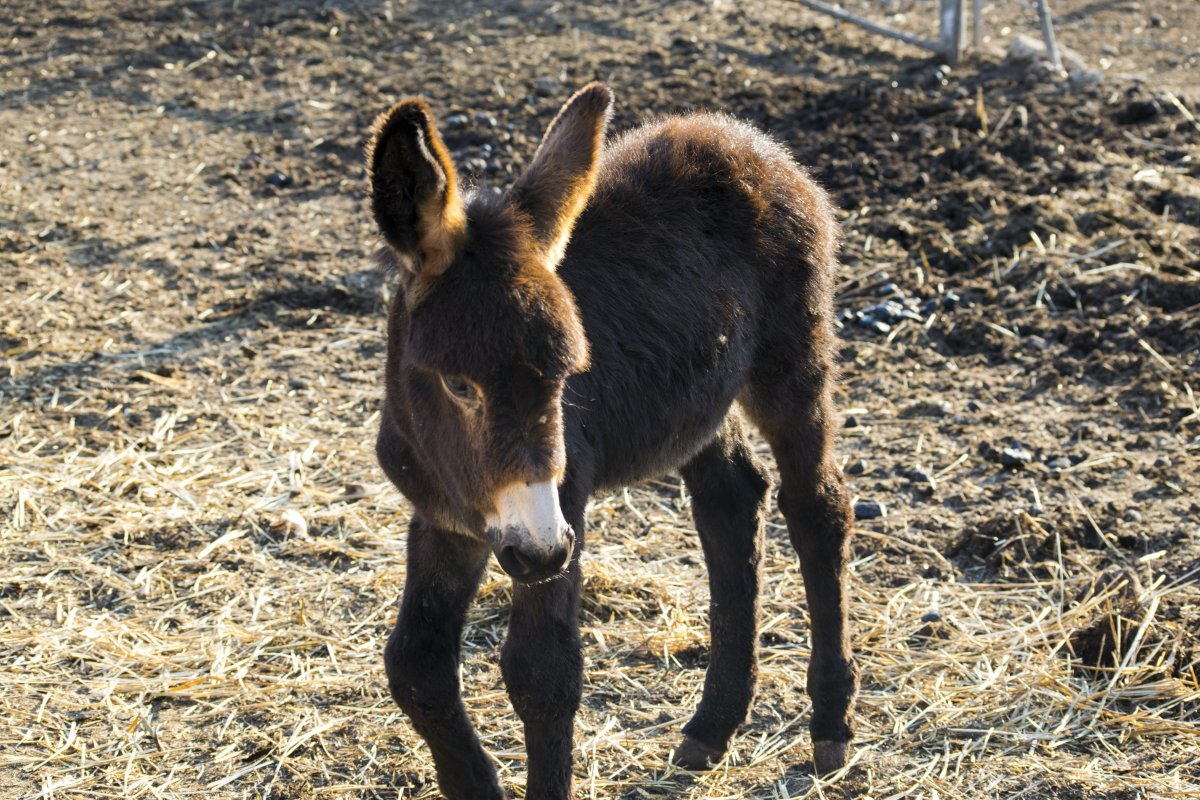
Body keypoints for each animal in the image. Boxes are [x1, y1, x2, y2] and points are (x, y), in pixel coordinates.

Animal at [369, 84, 859, 796]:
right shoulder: (445, 518)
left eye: (566, 376)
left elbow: (541, 675)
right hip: (700, 398)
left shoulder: (560, 499)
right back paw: (712, 726)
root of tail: (744, 138)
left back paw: (829, 726)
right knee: (732, 503)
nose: (542, 552)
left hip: (791, 361)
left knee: (817, 507)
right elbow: (416, 665)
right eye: (459, 385)